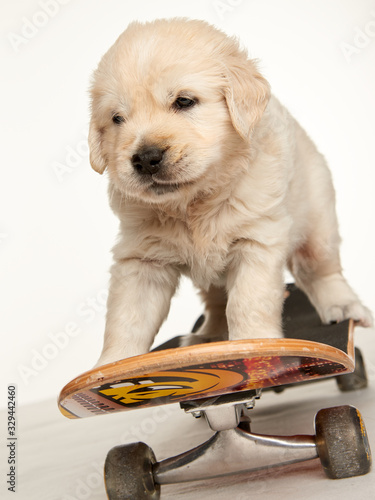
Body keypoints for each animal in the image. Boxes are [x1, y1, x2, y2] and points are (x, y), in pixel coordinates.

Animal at [89, 18, 374, 368]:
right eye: (117, 118)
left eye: (184, 101)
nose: (145, 158)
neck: (194, 202)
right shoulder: (141, 258)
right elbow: (126, 318)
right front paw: (112, 366)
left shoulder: (258, 240)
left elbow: (248, 302)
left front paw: (255, 345)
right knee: (215, 302)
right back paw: (208, 337)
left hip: (318, 221)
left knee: (323, 270)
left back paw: (344, 306)